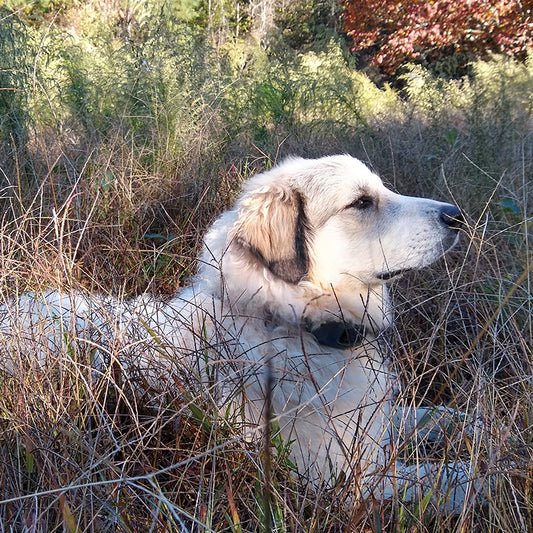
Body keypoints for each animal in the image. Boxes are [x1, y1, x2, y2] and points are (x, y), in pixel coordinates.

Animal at [0, 153, 474, 508]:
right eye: (360, 202)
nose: (458, 216)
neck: (288, 321)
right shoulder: (342, 481)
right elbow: (448, 478)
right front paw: (478, 468)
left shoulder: (368, 419)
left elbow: (413, 415)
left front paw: (462, 420)